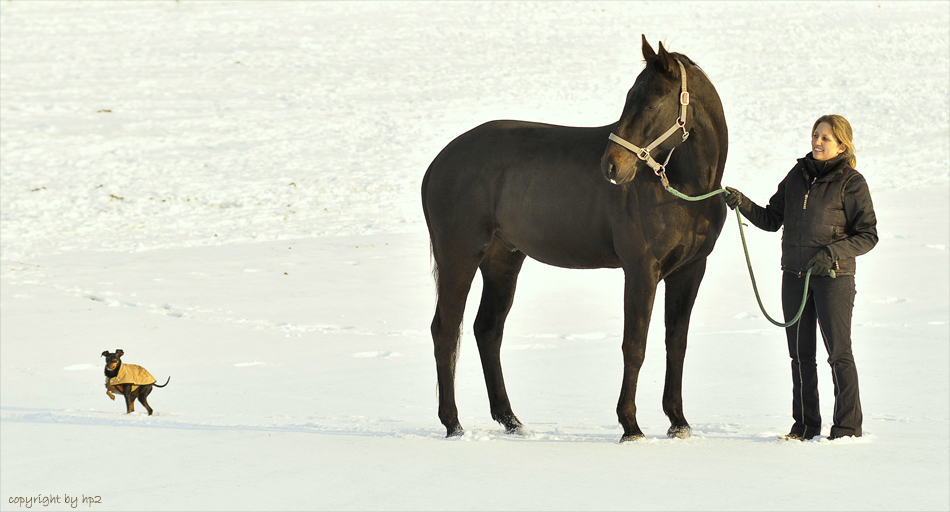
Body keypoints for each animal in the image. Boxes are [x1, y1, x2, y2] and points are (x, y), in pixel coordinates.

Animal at [424, 38, 728, 442]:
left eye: (651, 102)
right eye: (629, 98)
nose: (611, 166)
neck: (684, 189)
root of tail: (438, 163)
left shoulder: (690, 271)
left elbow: (675, 343)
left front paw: (678, 422)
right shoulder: (641, 271)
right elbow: (635, 345)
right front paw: (630, 425)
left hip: (503, 260)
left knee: (487, 330)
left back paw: (511, 420)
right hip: (458, 258)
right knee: (445, 331)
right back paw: (453, 424)